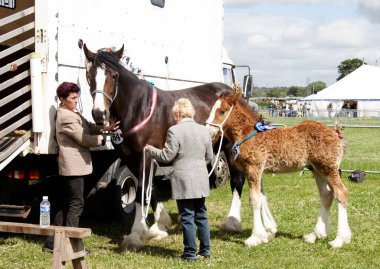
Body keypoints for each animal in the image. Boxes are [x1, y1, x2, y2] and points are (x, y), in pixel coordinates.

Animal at [83, 43, 248, 249]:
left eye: (114, 76)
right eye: (89, 76)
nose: (99, 114)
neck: (138, 108)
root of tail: (232, 91)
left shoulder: (145, 156)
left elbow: (141, 191)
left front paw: (137, 234)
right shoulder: (133, 158)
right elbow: (150, 189)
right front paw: (160, 224)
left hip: (229, 147)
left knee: (237, 180)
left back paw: (232, 222)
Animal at [206, 91, 352, 247]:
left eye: (222, 111)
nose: (209, 131)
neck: (247, 134)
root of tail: (335, 133)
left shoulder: (253, 168)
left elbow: (254, 200)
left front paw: (254, 237)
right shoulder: (258, 171)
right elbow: (262, 197)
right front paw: (267, 233)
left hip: (328, 168)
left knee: (341, 193)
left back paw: (340, 239)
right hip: (317, 170)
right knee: (326, 195)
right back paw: (315, 235)